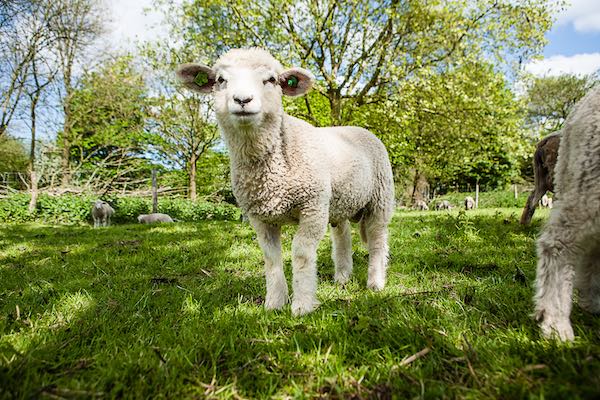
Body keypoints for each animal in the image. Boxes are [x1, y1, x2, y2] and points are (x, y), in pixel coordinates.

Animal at [176, 47, 396, 316]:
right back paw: (342, 277)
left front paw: (302, 305)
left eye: (271, 80)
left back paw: (375, 282)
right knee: (342, 235)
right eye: (220, 80)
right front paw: (274, 303)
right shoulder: (259, 217)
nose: (242, 100)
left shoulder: (313, 207)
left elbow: (301, 253)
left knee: (377, 240)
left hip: (380, 198)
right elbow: (271, 258)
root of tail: (358, 128)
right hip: (339, 201)